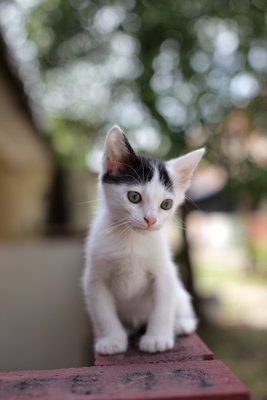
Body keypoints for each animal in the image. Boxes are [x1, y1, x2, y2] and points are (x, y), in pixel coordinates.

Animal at [83, 125, 205, 354]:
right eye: (134, 197)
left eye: (166, 204)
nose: (151, 219)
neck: (131, 239)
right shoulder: (94, 279)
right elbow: (103, 313)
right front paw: (112, 339)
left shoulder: (165, 274)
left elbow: (163, 308)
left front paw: (157, 338)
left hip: (180, 292)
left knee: (182, 304)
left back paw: (181, 323)